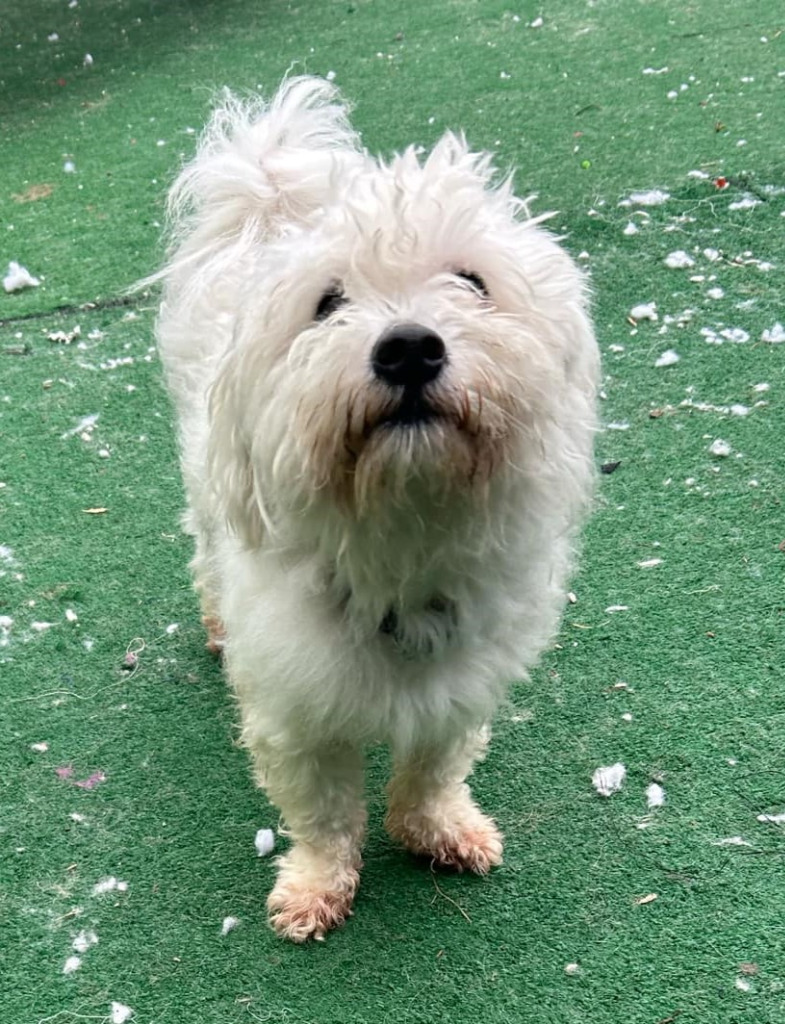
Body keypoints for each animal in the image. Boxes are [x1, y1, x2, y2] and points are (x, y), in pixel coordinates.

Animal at [155, 75, 601, 942]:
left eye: (472, 282)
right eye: (327, 303)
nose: (408, 347)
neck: (402, 535)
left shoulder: (459, 687)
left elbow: (433, 769)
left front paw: (438, 829)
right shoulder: (295, 713)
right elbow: (323, 813)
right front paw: (315, 888)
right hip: (206, 496)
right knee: (203, 557)